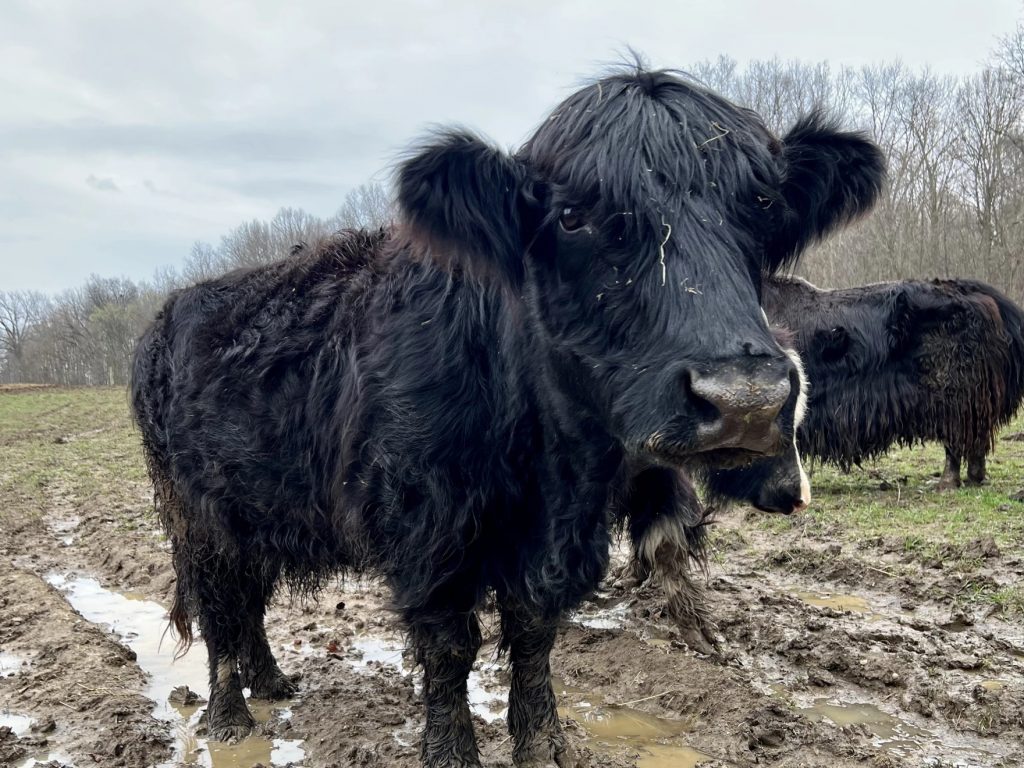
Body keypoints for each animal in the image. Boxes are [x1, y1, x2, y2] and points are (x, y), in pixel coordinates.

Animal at [130, 67, 884, 767]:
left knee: (249, 602)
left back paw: (271, 681)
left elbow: (533, 633)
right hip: (198, 518)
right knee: (221, 610)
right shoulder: (427, 534)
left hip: (253, 510)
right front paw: (453, 754)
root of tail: (171, 312)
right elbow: (449, 649)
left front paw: (545, 743)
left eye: (763, 205)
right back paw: (231, 715)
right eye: (573, 216)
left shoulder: (557, 536)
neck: (547, 465)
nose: (744, 399)